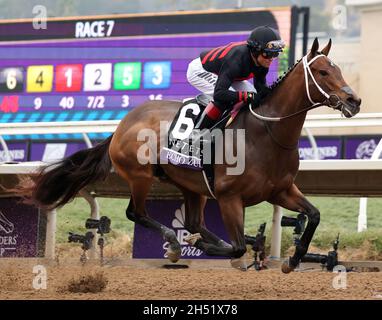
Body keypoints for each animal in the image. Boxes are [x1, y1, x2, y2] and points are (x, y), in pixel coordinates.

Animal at [16, 37, 360, 272]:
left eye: (338, 69)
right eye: (322, 71)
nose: (354, 101)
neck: (268, 134)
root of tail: (121, 125)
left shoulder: (281, 190)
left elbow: (313, 215)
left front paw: (293, 259)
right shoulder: (230, 197)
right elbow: (238, 248)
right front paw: (219, 250)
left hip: (193, 186)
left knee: (193, 221)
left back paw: (196, 239)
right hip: (140, 176)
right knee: (136, 213)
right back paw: (174, 242)